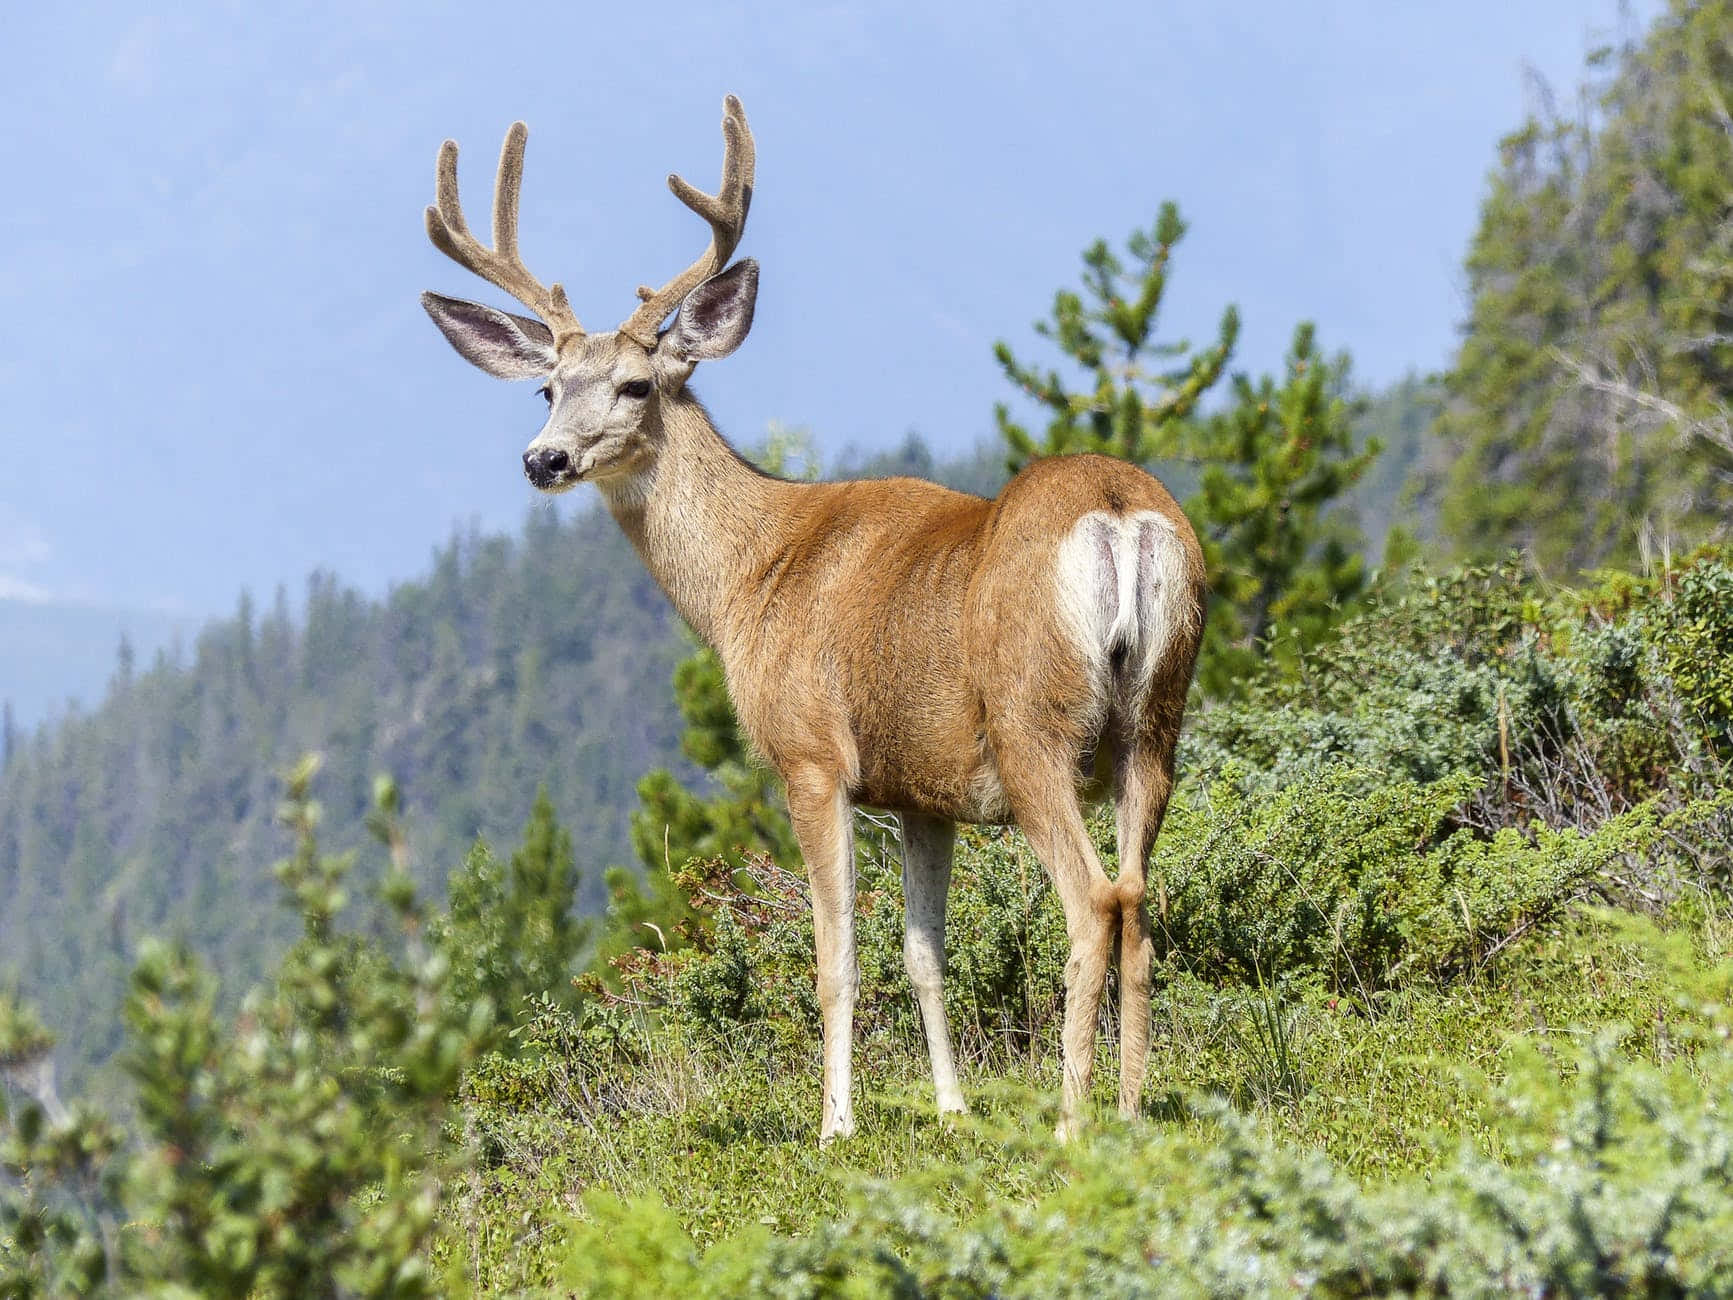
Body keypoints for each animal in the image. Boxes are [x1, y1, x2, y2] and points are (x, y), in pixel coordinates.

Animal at [419, 96, 1205, 1142]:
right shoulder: (922, 789)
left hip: (1033, 721)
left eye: (635, 385)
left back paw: (1073, 1121)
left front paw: (837, 1124)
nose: (542, 459)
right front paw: (950, 1108)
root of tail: (1119, 516)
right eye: (548, 387)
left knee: (1094, 902)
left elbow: (836, 959)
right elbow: (923, 954)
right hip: (1155, 718)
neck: (750, 578)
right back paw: (1129, 1108)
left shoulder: (810, 753)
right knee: (1141, 901)